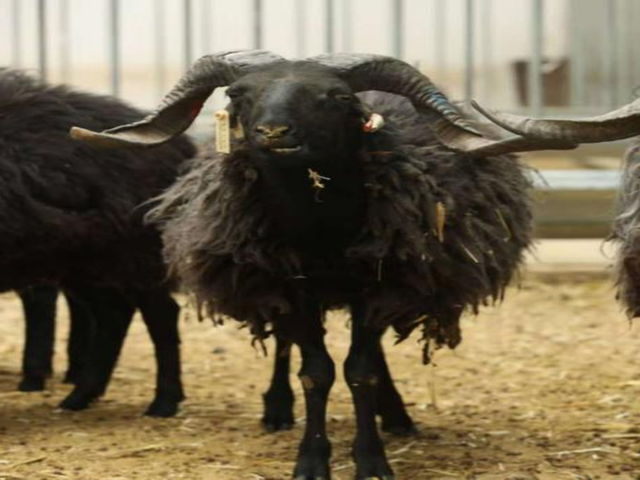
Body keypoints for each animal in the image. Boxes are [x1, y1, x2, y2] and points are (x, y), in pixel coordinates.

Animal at [0, 68, 196, 417]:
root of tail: (179, 145)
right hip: (83, 261)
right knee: (112, 315)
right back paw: (80, 396)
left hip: (134, 253)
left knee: (160, 316)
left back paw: (164, 402)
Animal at [72, 49, 608, 480]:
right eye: (238, 93)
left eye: (334, 96)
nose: (273, 132)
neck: (320, 231)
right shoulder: (290, 287)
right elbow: (315, 372)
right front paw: (311, 461)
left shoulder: (378, 286)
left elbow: (360, 371)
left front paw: (371, 460)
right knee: (285, 345)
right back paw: (277, 409)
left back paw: (395, 416)